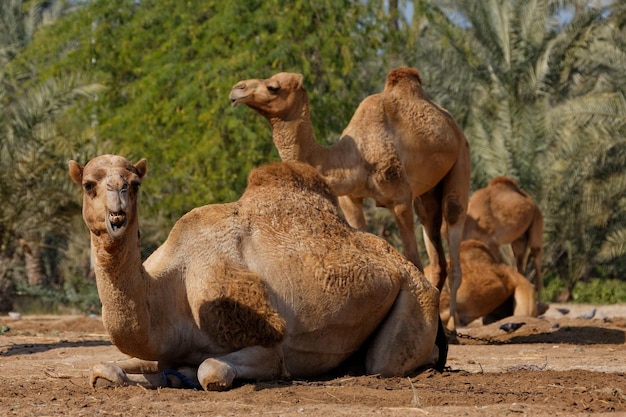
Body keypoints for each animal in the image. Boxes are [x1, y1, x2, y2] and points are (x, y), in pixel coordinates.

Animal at [70, 154, 446, 390]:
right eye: (89, 184)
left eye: (134, 183)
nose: (117, 212)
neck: (171, 289)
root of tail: (404, 265)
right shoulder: (167, 351)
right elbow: (105, 369)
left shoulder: (270, 348)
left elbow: (211, 369)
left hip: (415, 295)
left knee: (387, 362)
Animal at [229, 67, 468, 332]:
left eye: (274, 87)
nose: (236, 89)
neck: (355, 157)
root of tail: (450, 121)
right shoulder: (350, 198)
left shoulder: (400, 198)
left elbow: (414, 260)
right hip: (428, 192)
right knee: (432, 231)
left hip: (461, 158)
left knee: (454, 222)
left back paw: (454, 325)